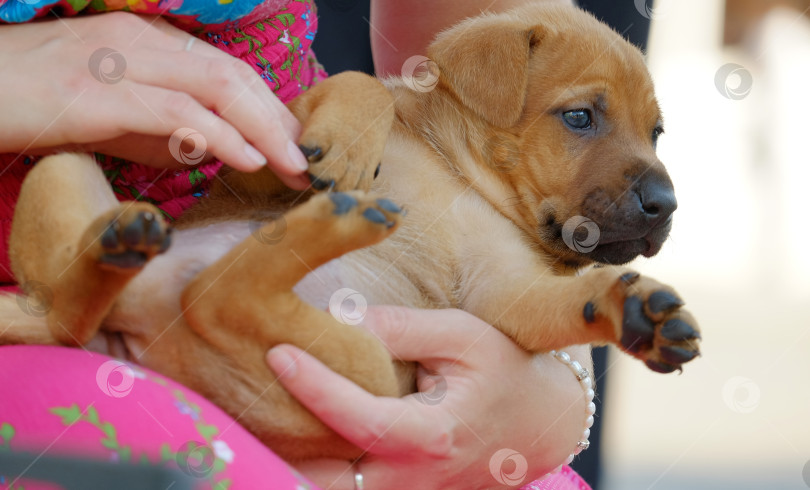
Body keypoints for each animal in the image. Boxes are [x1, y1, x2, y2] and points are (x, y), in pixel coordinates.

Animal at [0, 4, 696, 464]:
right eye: (579, 117)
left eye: (657, 133)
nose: (667, 205)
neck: (462, 178)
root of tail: (128, 331)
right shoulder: (259, 169)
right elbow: (362, 85)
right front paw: (349, 144)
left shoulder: (504, 294)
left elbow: (566, 304)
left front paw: (634, 307)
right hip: (68, 167)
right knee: (136, 302)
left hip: (362, 370)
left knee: (207, 298)